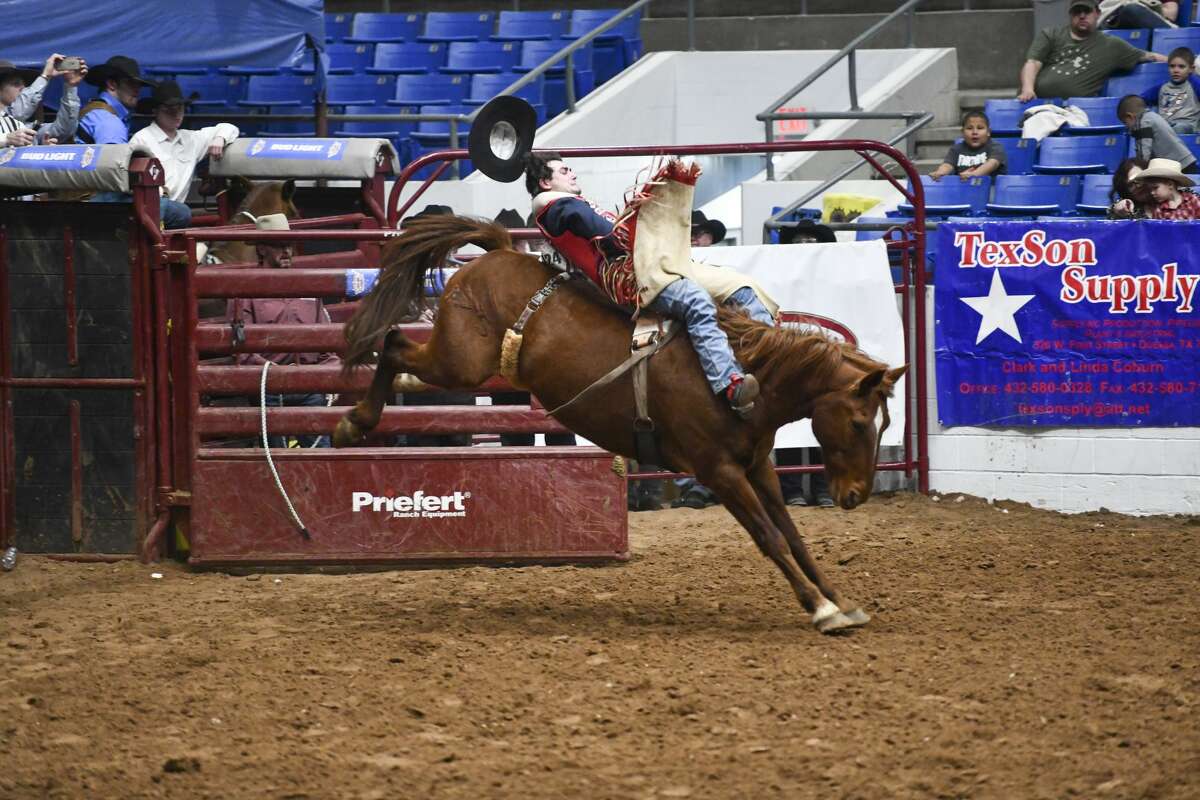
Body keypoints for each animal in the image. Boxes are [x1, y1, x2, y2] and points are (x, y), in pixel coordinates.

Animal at [333, 214, 902, 638]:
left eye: (880, 425)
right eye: (858, 422)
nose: (856, 495)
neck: (746, 376)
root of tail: (497, 252)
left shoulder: (757, 466)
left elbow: (794, 536)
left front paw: (839, 600)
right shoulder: (719, 471)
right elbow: (769, 538)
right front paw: (820, 610)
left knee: (401, 359)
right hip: (463, 362)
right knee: (393, 344)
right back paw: (352, 425)